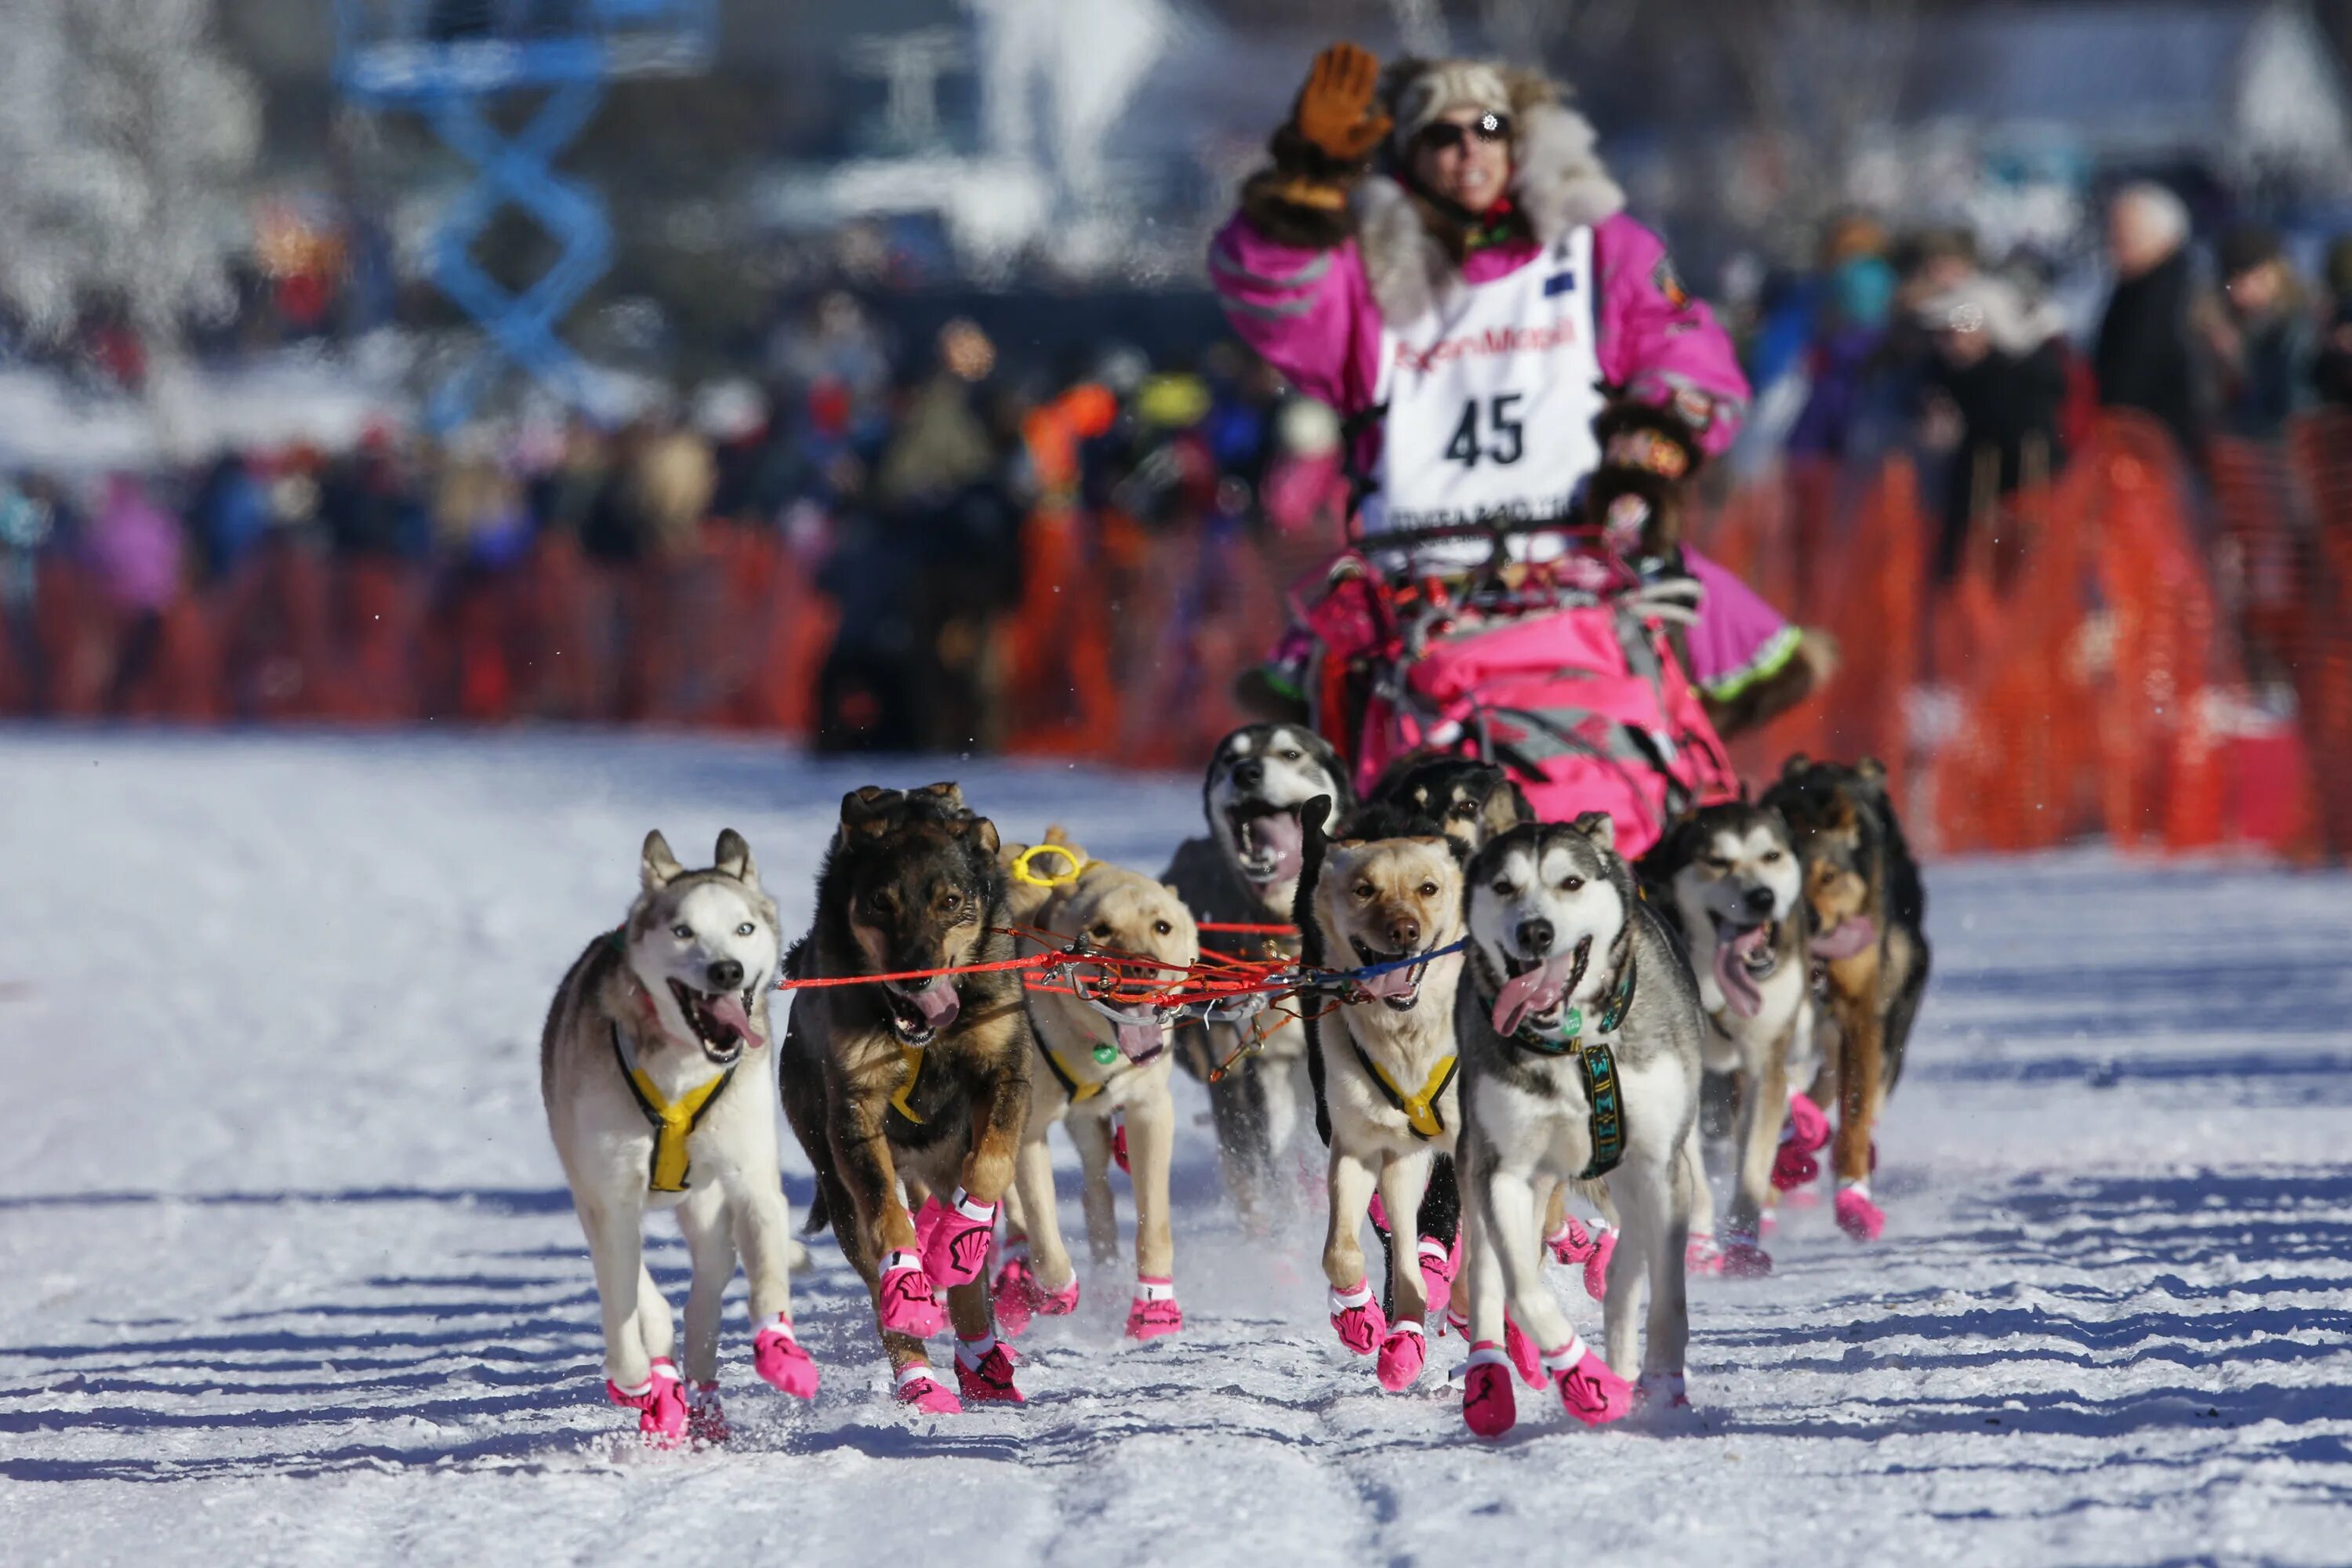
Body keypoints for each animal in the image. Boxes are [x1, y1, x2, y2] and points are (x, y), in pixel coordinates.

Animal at [781, 785, 1030, 1410]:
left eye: (950, 900)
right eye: (880, 902)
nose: (916, 976)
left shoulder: (1005, 1071)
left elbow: (991, 1165)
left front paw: (957, 1237)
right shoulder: (855, 1112)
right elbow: (886, 1217)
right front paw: (910, 1283)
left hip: (942, 1159)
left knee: (969, 1287)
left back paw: (983, 1363)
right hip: (834, 1180)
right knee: (877, 1271)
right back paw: (919, 1374)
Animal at [997, 851, 1214, 1345]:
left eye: (1162, 926)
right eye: (1098, 930)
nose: (1142, 966)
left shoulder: (1150, 1112)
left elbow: (1153, 1223)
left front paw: (1154, 1306)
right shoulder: (1029, 1130)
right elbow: (1044, 1233)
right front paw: (1055, 1290)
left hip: (1090, 1129)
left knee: (1096, 1192)